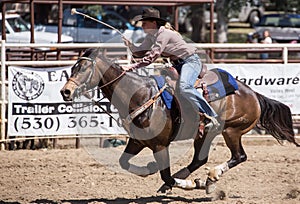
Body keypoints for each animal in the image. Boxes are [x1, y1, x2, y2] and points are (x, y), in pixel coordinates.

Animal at [59, 48, 298, 194]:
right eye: (72, 68)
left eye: (84, 68)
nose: (65, 91)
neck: (141, 96)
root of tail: (252, 93)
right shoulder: (137, 141)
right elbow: (124, 163)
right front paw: (151, 169)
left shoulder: (160, 145)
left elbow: (165, 175)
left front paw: (181, 182)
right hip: (205, 134)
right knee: (199, 160)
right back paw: (199, 179)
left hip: (231, 131)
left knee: (239, 156)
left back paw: (210, 176)